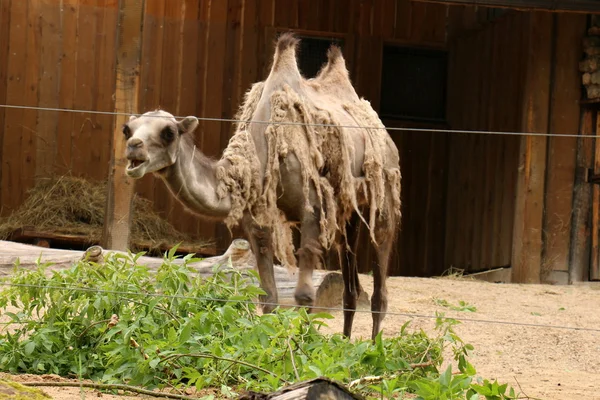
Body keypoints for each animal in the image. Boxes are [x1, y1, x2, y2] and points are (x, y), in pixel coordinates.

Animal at [122, 32, 400, 340]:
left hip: (384, 193)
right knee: (350, 284)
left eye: (168, 132)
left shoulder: (311, 210)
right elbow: (268, 297)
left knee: (380, 283)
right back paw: (346, 343)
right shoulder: (257, 221)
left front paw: (305, 346)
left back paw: (374, 347)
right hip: (346, 211)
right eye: (127, 129)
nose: (134, 146)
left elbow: (305, 295)